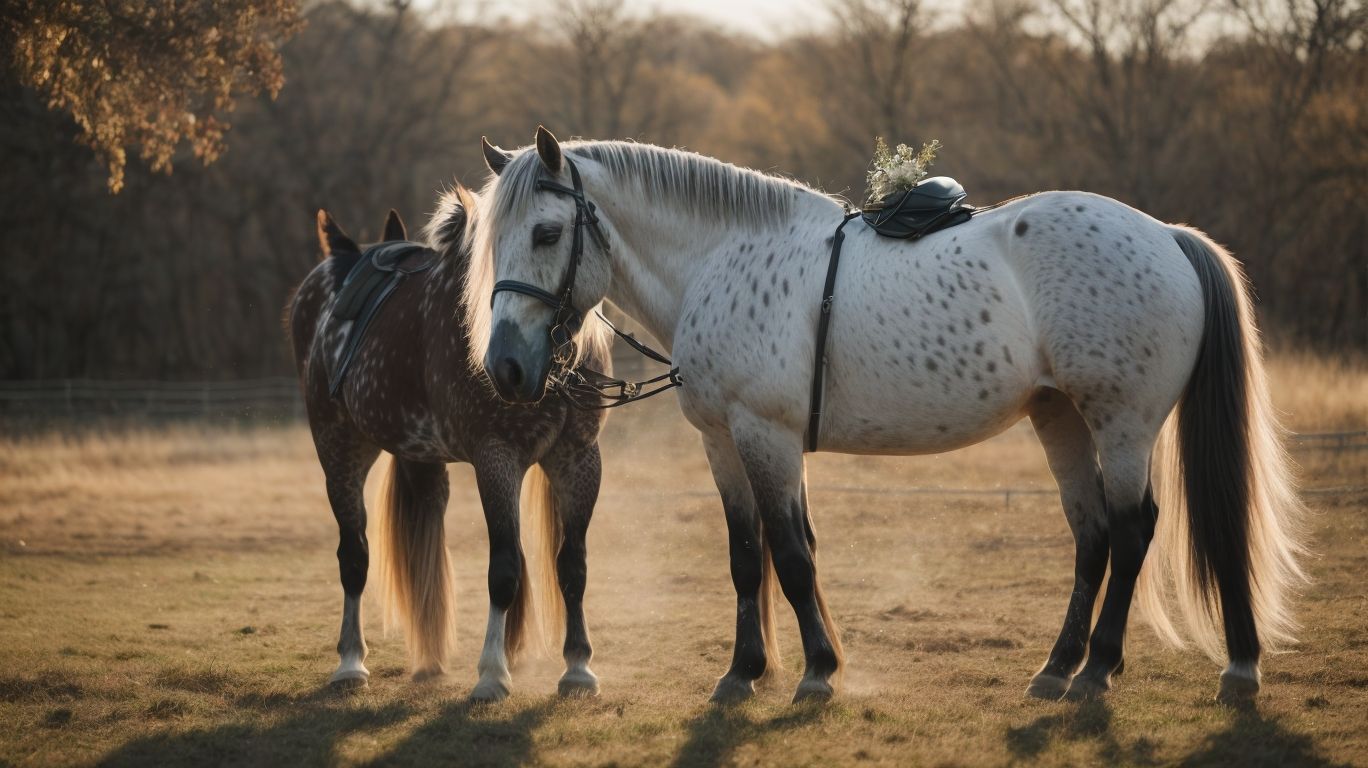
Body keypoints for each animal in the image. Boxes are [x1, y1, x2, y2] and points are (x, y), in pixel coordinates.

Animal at [284, 189, 612, 701]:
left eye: (547, 236)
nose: (506, 367)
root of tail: (342, 259)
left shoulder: (578, 458)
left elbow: (571, 566)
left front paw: (578, 669)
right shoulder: (496, 457)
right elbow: (504, 570)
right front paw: (492, 674)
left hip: (419, 457)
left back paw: (429, 658)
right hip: (338, 449)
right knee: (354, 556)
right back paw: (350, 662)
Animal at [468, 127, 1306, 706]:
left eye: (547, 232)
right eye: (491, 239)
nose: (504, 368)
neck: (722, 257)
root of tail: (1167, 235)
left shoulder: (765, 436)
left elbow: (790, 555)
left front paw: (815, 674)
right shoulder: (723, 443)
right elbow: (750, 555)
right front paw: (745, 673)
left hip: (1121, 424)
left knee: (1132, 533)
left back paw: (1099, 670)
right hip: (1061, 419)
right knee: (1093, 534)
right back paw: (1061, 667)